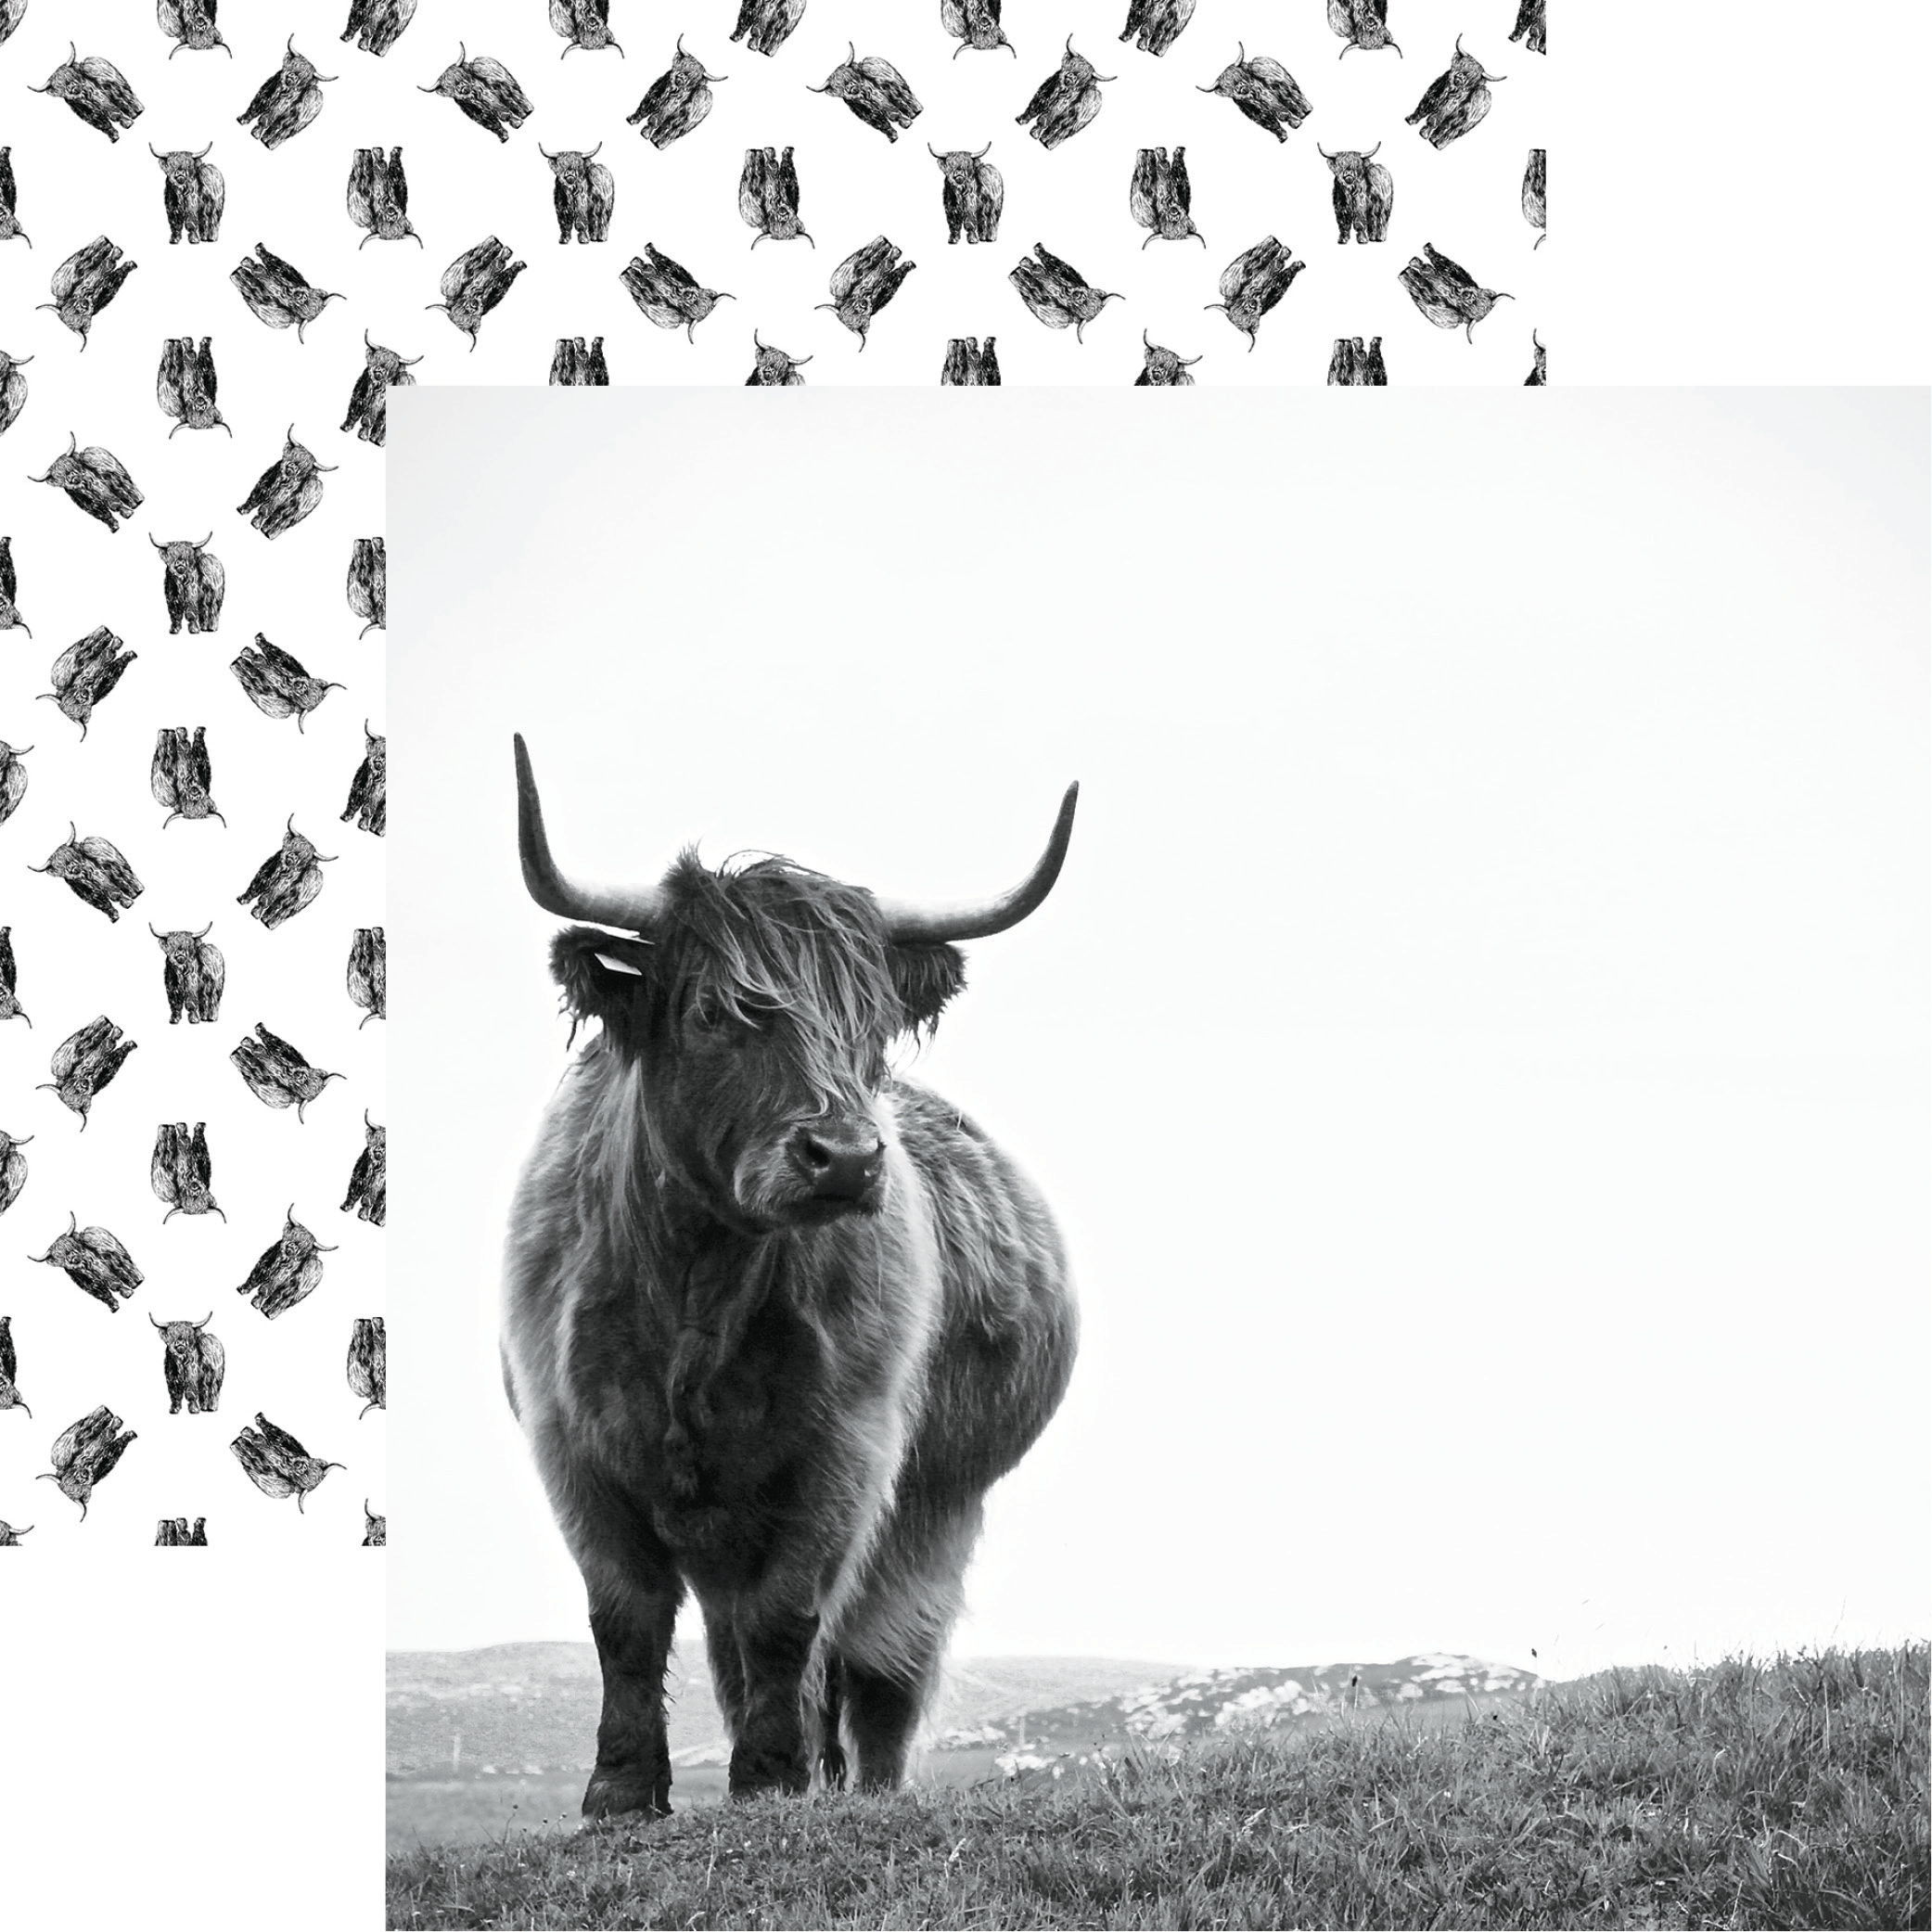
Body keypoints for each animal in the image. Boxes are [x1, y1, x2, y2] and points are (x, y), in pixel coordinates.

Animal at [502, 737, 1080, 1819]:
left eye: (870, 1026)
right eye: (711, 1012)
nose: (845, 1158)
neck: (697, 1286)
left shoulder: (845, 1454)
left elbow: (789, 1619)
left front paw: (770, 1782)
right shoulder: (574, 1448)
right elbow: (626, 1618)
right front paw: (621, 1792)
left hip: (938, 1508)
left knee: (881, 1666)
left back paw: (861, 1787)